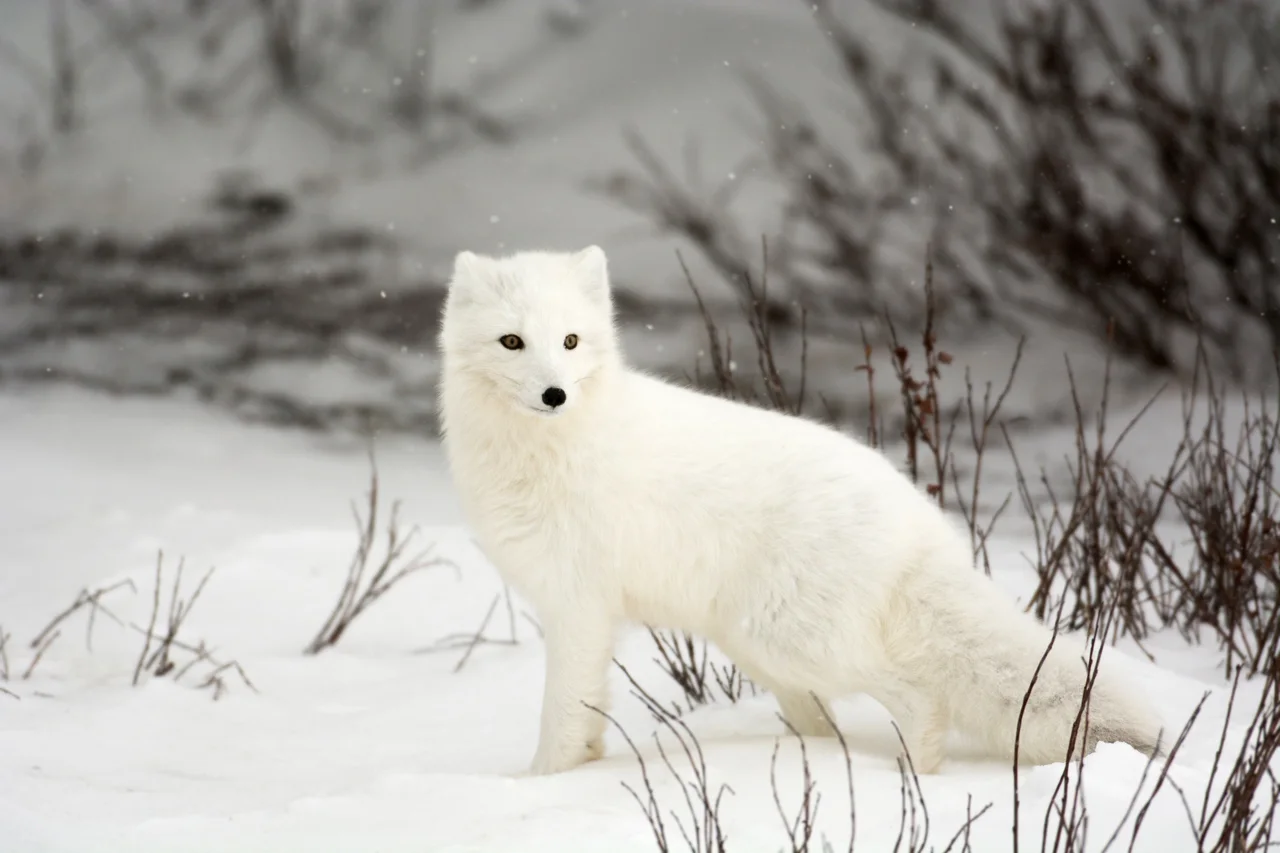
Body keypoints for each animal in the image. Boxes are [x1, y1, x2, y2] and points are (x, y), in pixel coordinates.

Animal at [436, 245, 1166, 777]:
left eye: (569, 341)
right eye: (511, 342)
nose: (555, 394)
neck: (548, 448)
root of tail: (919, 521)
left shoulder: (578, 606)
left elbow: (561, 716)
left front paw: (540, 786)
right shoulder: (579, 609)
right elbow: (587, 718)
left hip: (787, 640)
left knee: (917, 698)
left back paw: (915, 779)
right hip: (763, 651)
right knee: (827, 722)